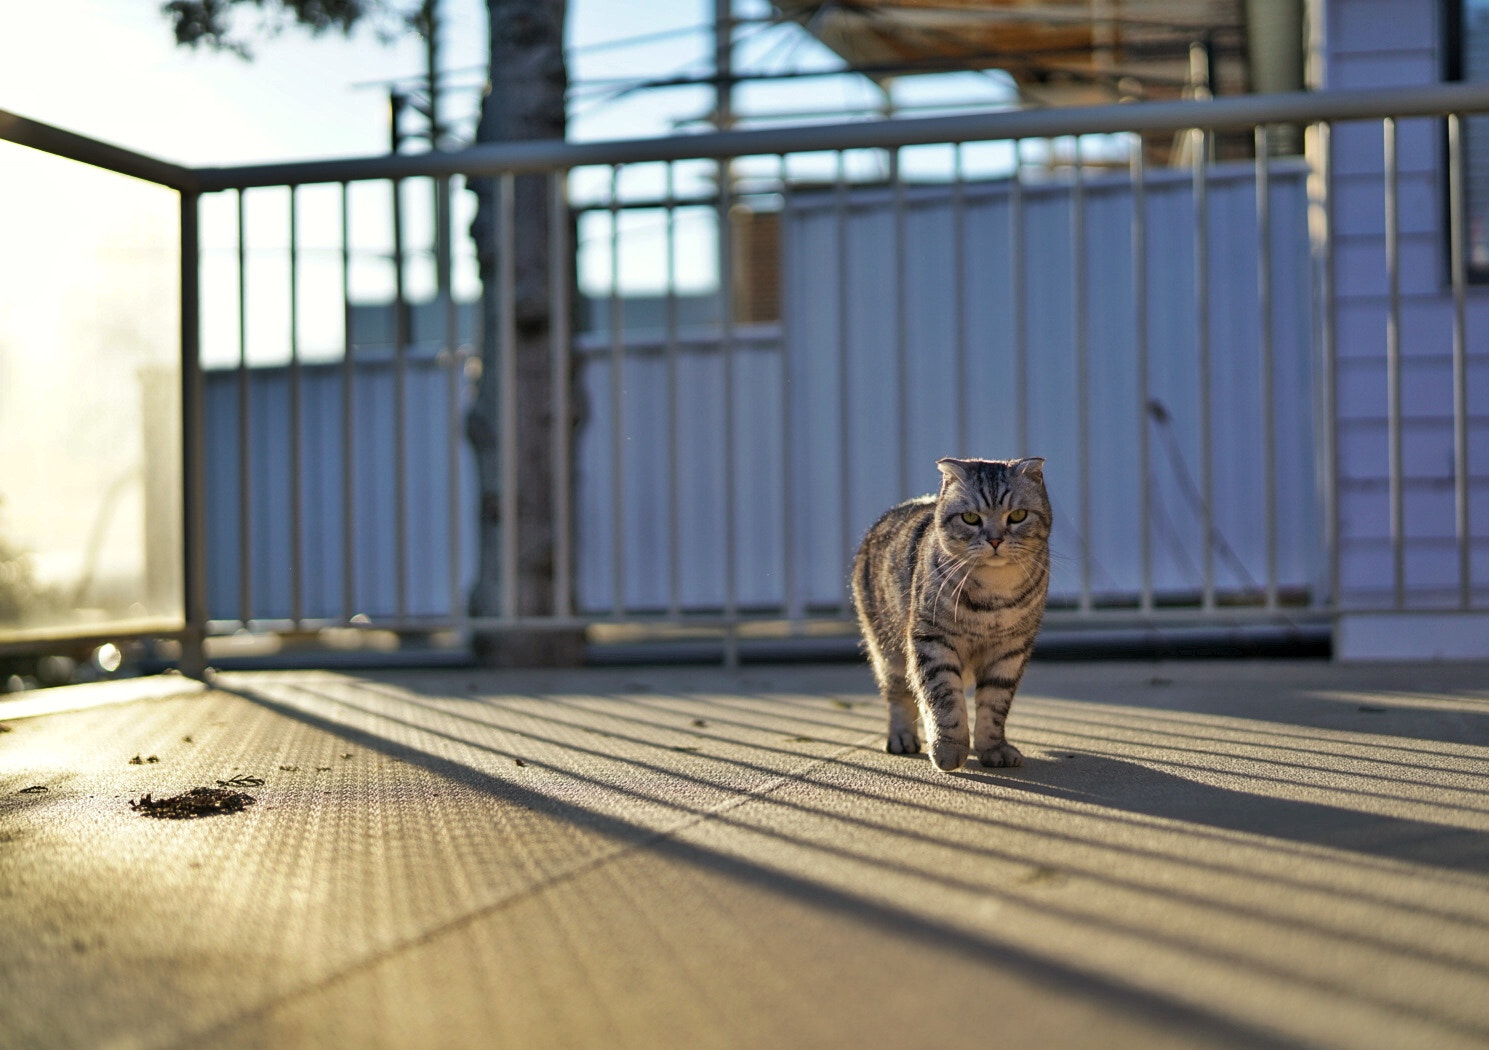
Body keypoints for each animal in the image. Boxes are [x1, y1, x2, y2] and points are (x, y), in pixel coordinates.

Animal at [857, 455, 1054, 768]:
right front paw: (948, 749)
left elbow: (994, 704)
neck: (993, 593)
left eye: (1018, 515)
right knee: (899, 695)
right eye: (971, 518)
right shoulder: (932, 641)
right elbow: (945, 698)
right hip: (887, 651)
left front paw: (993, 749)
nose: (995, 540)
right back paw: (902, 738)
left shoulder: (1010, 649)